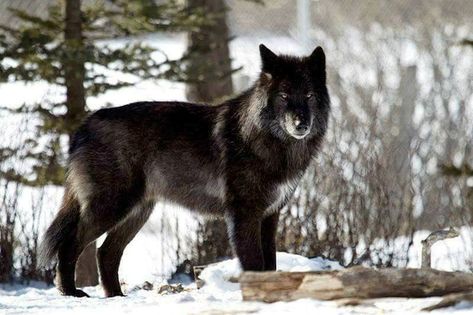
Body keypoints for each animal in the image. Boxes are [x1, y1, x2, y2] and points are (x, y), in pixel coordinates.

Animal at [39, 44, 328, 298]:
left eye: (309, 96)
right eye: (284, 96)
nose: (301, 124)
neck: (269, 141)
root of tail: (85, 125)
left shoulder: (270, 215)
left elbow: (270, 265)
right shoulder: (244, 215)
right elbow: (255, 265)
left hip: (136, 212)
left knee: (106, 253)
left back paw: (116, 297)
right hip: (110, 208)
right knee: (70, 245)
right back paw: (71, 293)